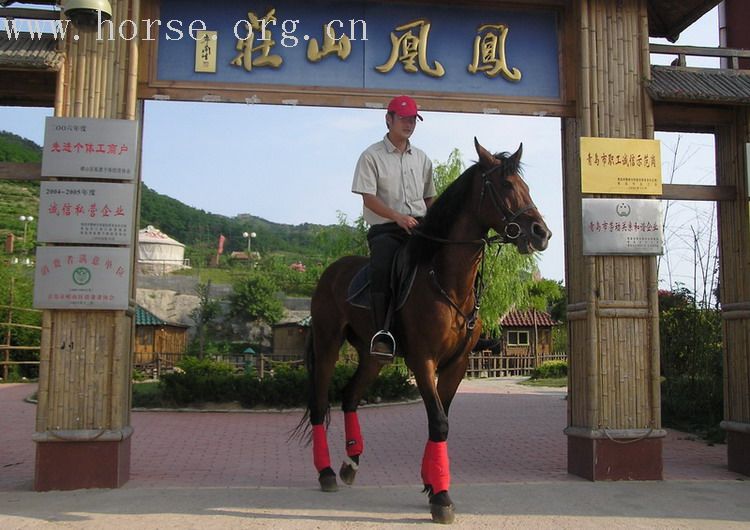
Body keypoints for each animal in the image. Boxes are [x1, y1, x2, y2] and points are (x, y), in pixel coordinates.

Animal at [300, 138, 552, 520]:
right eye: (507, 186)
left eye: (525, 186)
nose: (542, 233)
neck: (446, 280)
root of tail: (332, 270)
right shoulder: (423, 359)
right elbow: (438, 421)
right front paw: (441, 497)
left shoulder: (457, 364)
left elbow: (442, 419)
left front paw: (432, 482)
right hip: (328, 344)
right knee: (319, 402)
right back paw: (327, 471)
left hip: (373, 356)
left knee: (350, 396)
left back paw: (351, 462)